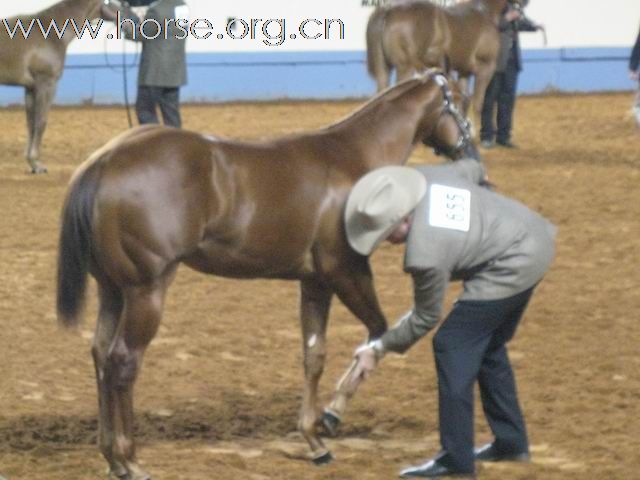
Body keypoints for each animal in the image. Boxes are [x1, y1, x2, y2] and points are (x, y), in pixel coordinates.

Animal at [0, 0, 119, 172]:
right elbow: (41, 121)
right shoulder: (46, 84)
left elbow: (31, 123)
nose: (135, 19)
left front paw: (31, 163)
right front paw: (36, 163)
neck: (49, 32)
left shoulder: (30, 88)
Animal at [55, 71, 476, 480]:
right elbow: (377, 333)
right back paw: (131, 461)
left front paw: (314, 439)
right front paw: (331, 416)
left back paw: (111, 457)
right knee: (123, 362)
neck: (353, 158)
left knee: (101, 355)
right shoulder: (347, 271)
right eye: (461, 101)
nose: (470, 153)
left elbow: (314, 354)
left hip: (113, 291)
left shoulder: (316, 282)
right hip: (147, 291)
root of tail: (104, 160)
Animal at [368, 0, 524, 129]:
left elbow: (464, 100)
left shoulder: (464, 71)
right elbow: (478, 102)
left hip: (384, 68)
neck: (485, 12)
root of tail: (389, 10)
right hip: (405, 67)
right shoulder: (486, 68)